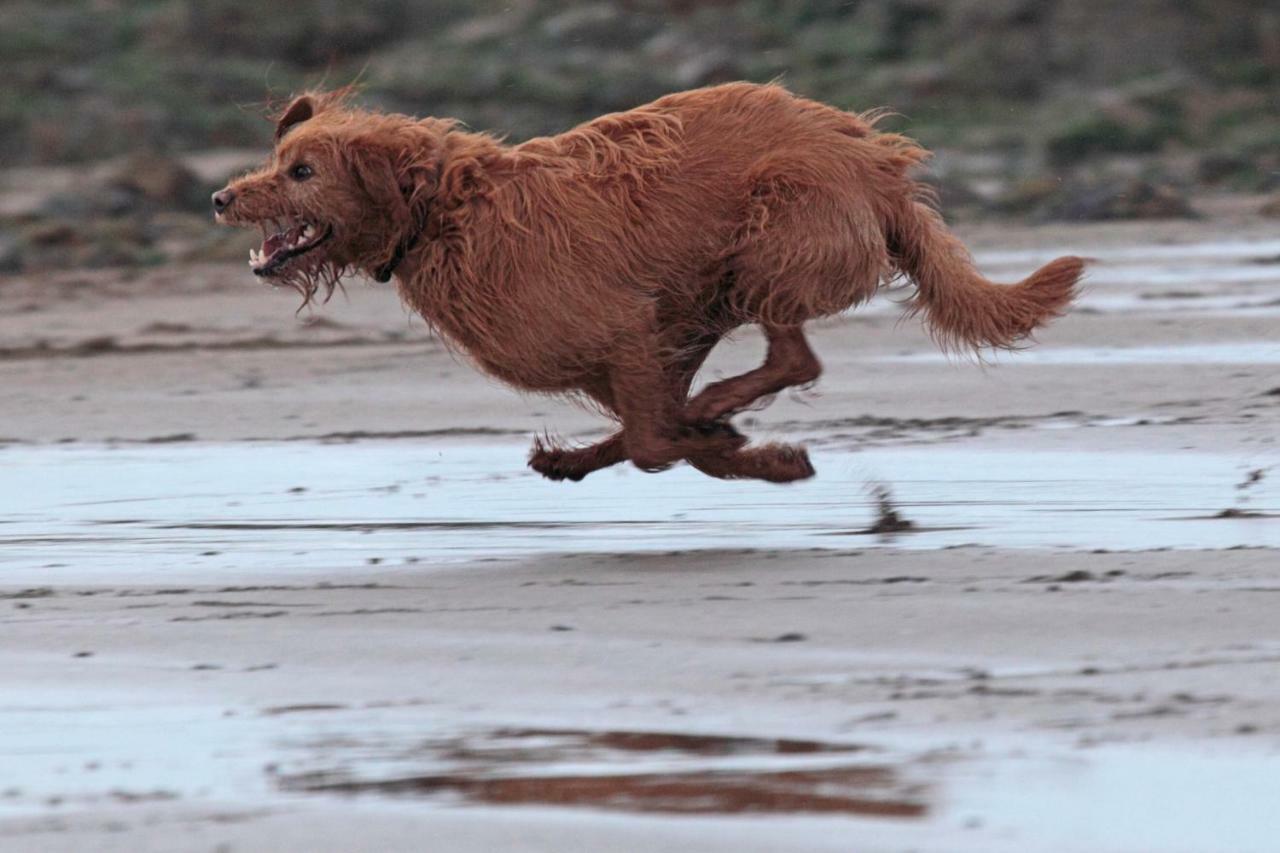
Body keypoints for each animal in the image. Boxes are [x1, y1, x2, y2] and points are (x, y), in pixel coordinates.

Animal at [212, 83, 1080, 481]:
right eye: (276, 159)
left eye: (301, 170)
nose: (221, 195)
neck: (443, 213)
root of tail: (875, 162)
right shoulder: (660, 333)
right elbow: (647, 430)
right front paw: (598, 454)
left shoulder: (628, 328)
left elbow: (656, 440)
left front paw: (756, 454)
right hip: (731, 277)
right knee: (778, 360)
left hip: (770, 228)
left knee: (795, 355)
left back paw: (722, 410)